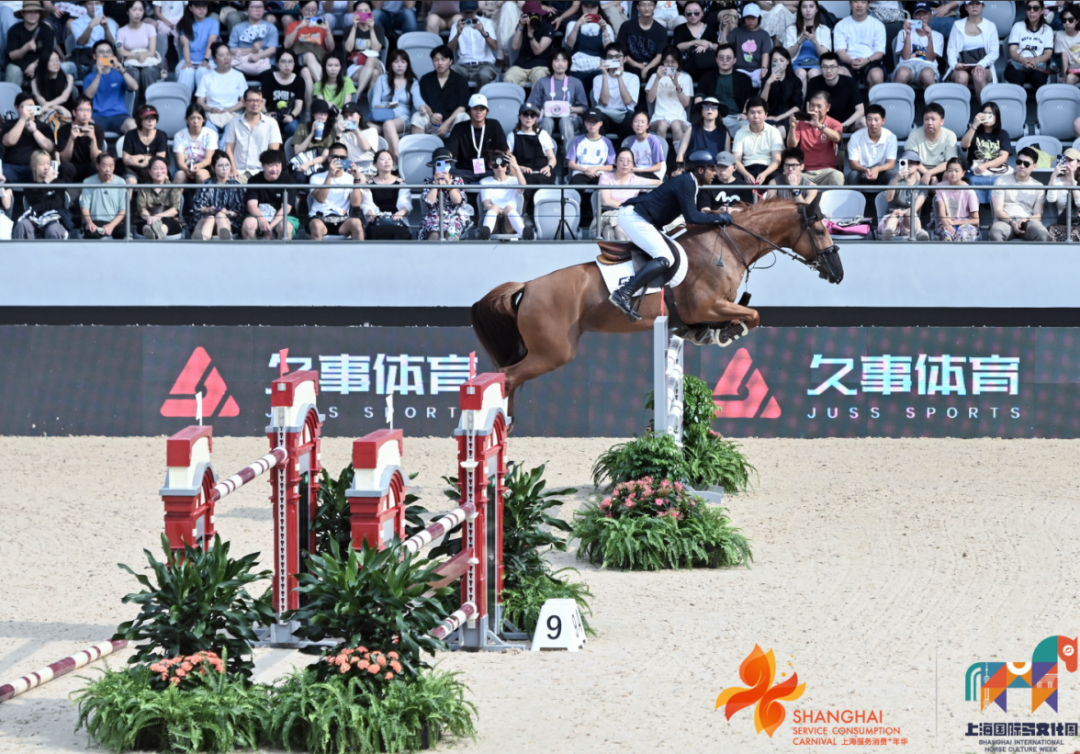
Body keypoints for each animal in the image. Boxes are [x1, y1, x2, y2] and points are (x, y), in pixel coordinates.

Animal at [470, 197, 844, 415]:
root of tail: (528, 286)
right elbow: (751, 315)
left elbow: (747, 313)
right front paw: (726, 334)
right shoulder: (707, 307)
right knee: (507, 376)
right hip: (554, 352)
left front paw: (706, 334)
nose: (837, 273)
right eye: (820, 230)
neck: (728, 246)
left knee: (508, 377)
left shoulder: (709, 309)